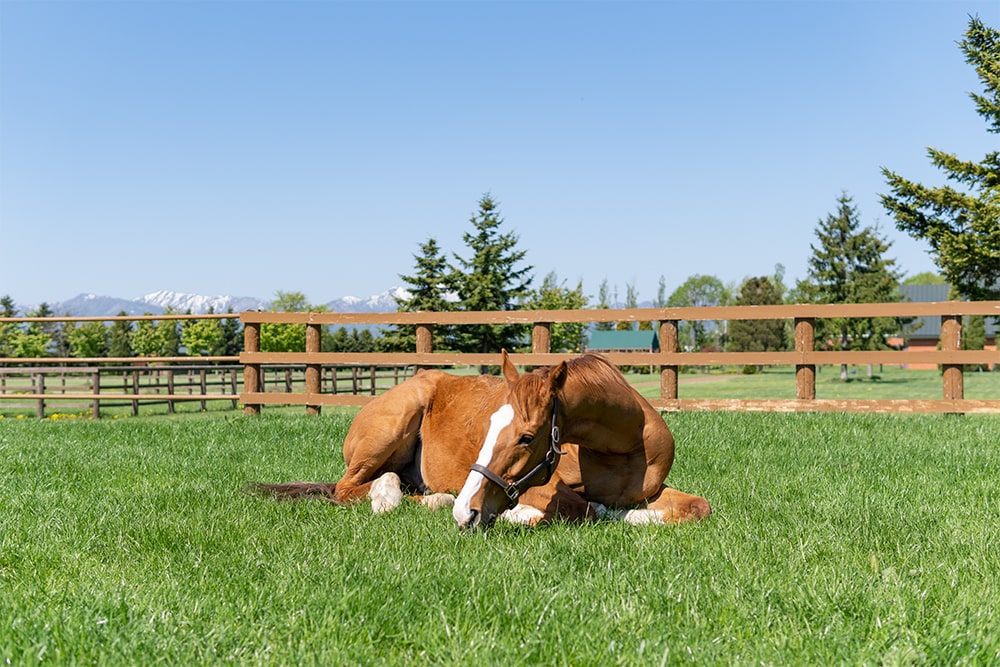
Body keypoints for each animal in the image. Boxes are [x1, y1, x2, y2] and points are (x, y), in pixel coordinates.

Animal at [258, 352, 712, 528]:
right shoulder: (543, 487)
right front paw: (519, 515)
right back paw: (392, 498)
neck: (623, 449)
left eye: (526, 436)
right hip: (388, 431)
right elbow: (579, 507)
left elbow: (697, 507)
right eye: (490, 424)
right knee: (348, 487)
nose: (467, 512)